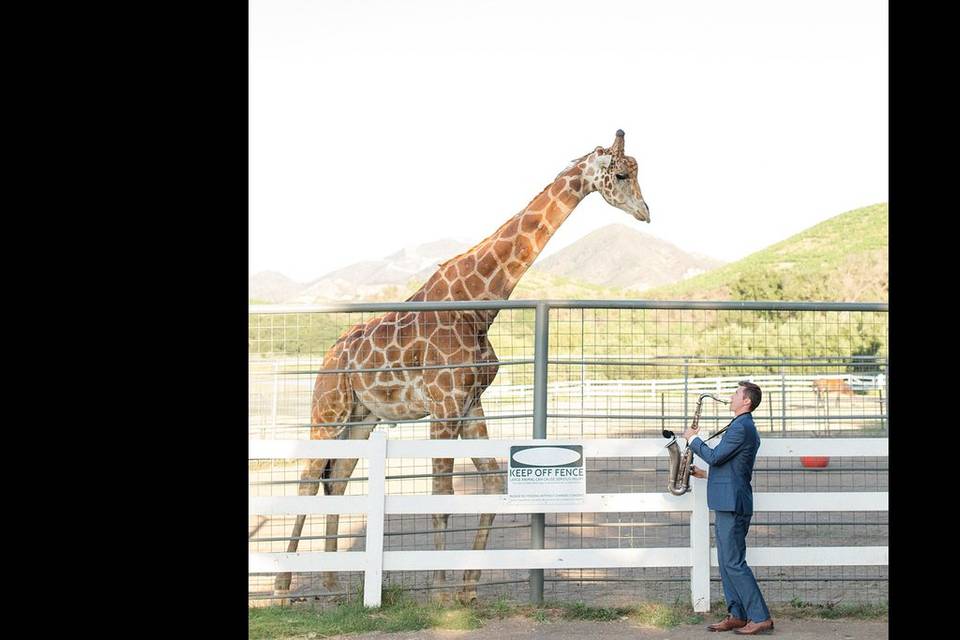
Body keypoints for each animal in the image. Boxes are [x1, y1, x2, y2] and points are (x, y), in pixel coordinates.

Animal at [274, 129, 652, 600]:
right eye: (620, 174)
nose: (645, 212)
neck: (478, 306)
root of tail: (327, 356)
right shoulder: (444, 404)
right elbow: (442, 494)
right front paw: (439, 590)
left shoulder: (470, 404)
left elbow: (491, 485)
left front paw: (469, 587)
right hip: (328, 411)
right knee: (308, 479)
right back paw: (284, 587)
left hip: (362, 419)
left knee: (337, 480)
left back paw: (330, 584)